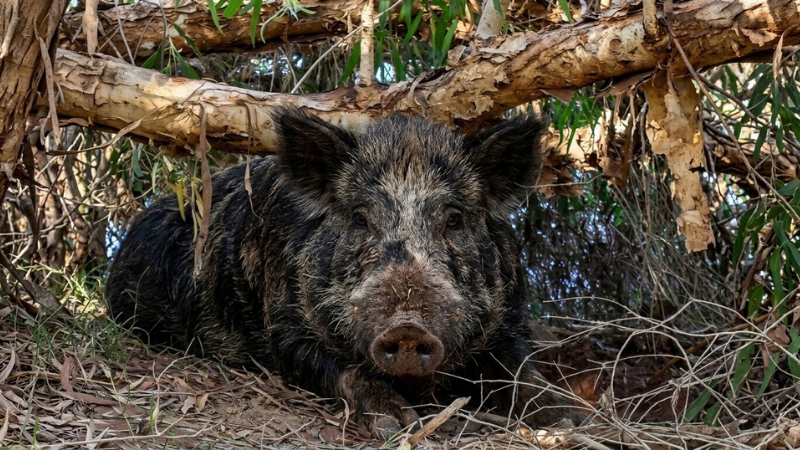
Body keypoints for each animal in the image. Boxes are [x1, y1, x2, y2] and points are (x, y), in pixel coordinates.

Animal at [105, 108, 586, 435]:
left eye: (453, 219)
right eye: (359, 217)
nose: (407, 327)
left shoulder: (511, 321)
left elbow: (522, 372)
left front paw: (571, 420)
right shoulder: (283, 328)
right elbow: (346, 370)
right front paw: (398, 424)